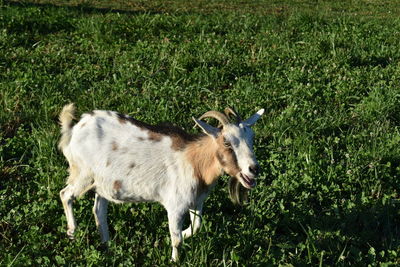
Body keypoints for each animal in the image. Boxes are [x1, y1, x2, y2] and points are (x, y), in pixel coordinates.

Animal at [57, 104, 264, 262]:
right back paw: (72, 233)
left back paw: (107, 245)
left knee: (98, 210)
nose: (253, 169)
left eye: (252, 138)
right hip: (83, 174)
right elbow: (176, 239)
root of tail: (74, 130)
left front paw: (180, 235)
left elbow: (196, 226)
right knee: (65, 194)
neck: (194, 161)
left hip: (104, 184)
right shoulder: (175, 205)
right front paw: (174, 260)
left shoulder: (196, 202)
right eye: (227, 142)